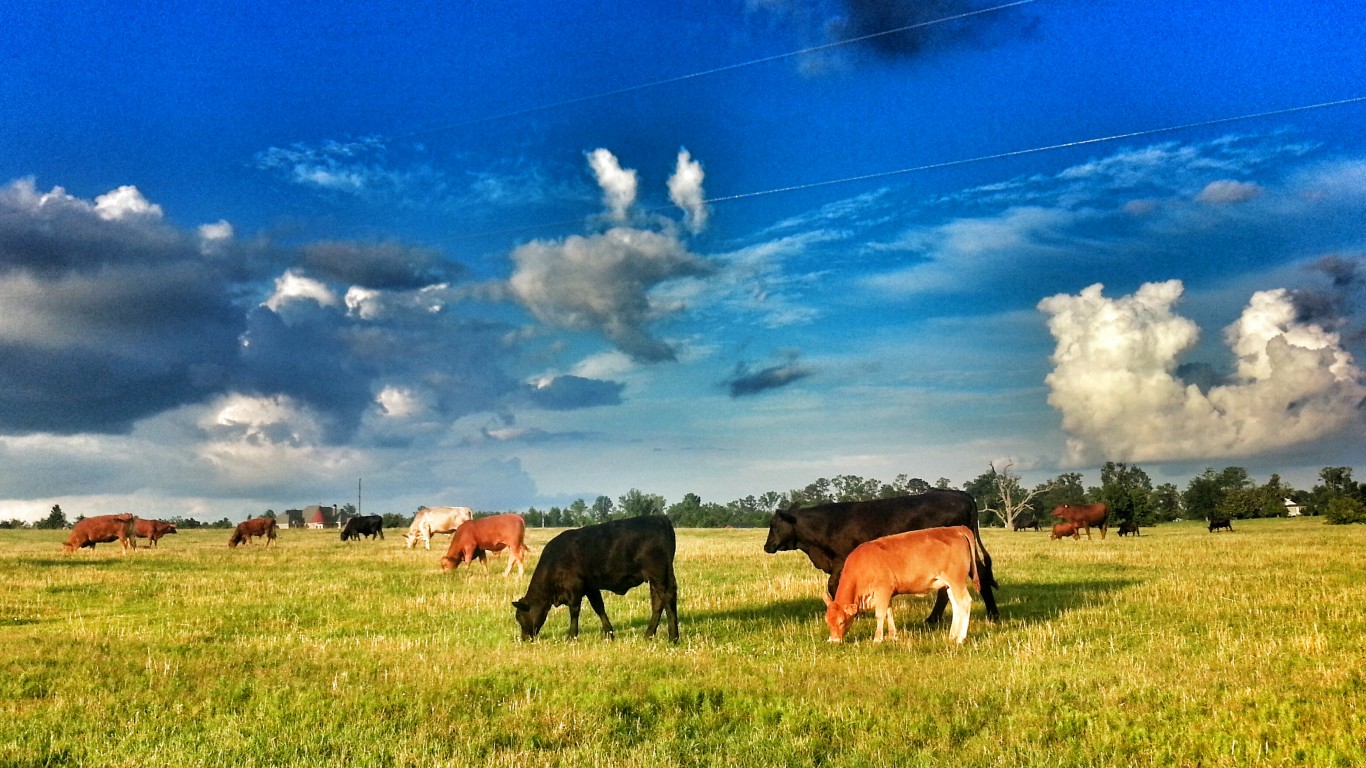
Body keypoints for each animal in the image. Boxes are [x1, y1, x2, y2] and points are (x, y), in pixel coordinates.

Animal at [513, 513, 677, 639]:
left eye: (520, 617)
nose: (524, 638)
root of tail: (660, 518)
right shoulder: (590, 587)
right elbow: (599, 607)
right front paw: (609, 633)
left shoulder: (575, 588)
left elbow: (574, 611)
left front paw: (571, 636)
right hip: (657, 578)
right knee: (658, 603)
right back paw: (648, 635)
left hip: (659, 575)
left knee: (668, 599)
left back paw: (673, 637)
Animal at [819, 522, 983, 642]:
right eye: (827, 621)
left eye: (841, 622)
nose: (833, 641)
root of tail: (957, 529)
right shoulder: (887, 594)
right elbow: (889, 613)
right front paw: (893, 636)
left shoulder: (883, 589)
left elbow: (880, 614)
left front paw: (877, 639)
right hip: (949, 585)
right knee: (956, 606)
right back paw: (952, 635)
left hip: (957, 581)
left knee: (965, 603)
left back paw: (960, 638)